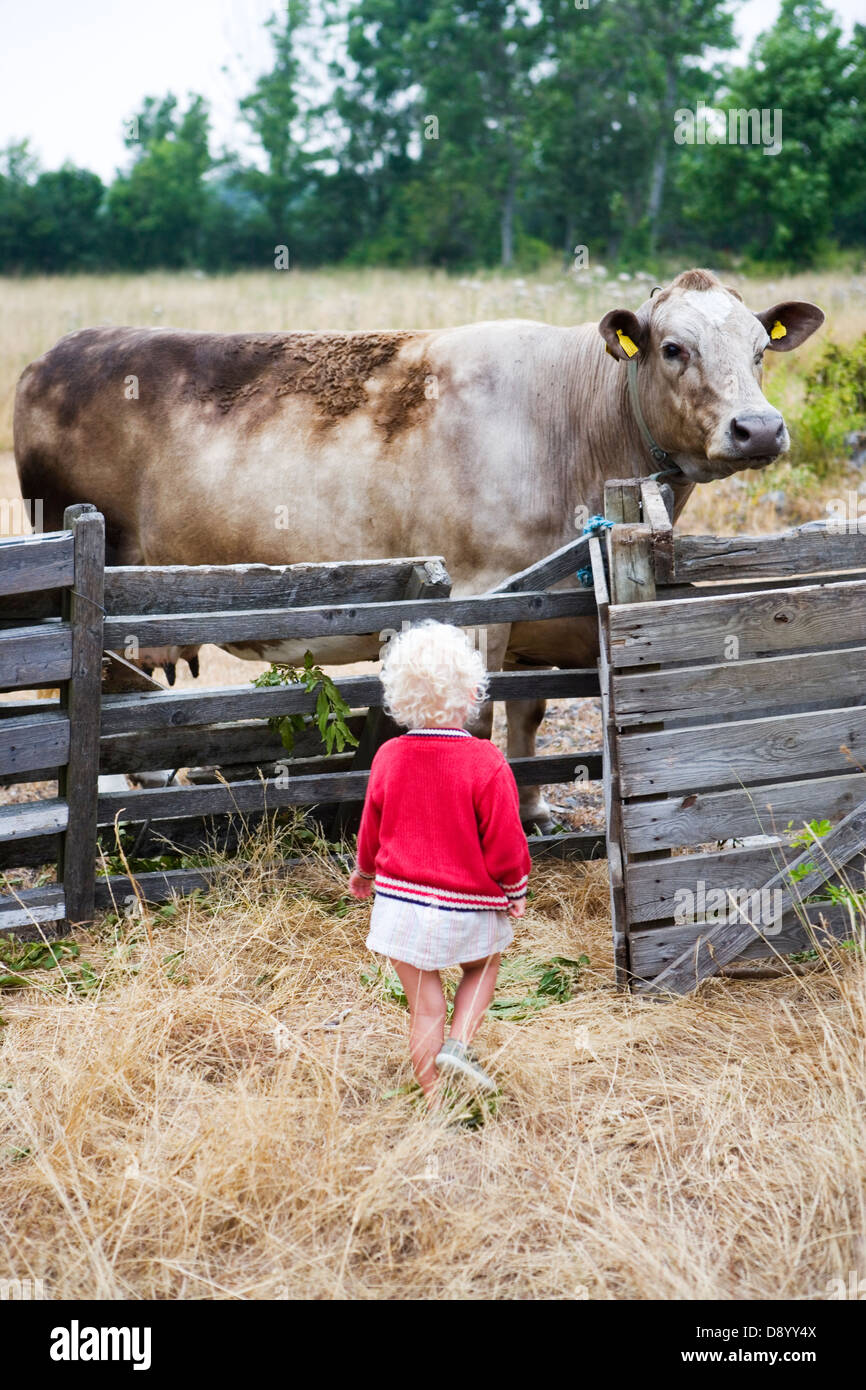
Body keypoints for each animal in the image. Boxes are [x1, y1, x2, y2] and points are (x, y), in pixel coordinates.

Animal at [14, 268, 824, 829]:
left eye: (761, 349)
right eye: (673, 348)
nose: (758, 428)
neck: (575, 420)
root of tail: (58, 353)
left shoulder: (542, 608)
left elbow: (531, 715)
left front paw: (535, 811)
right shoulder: (479, 593)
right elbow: (480, 717)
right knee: (89, 690)